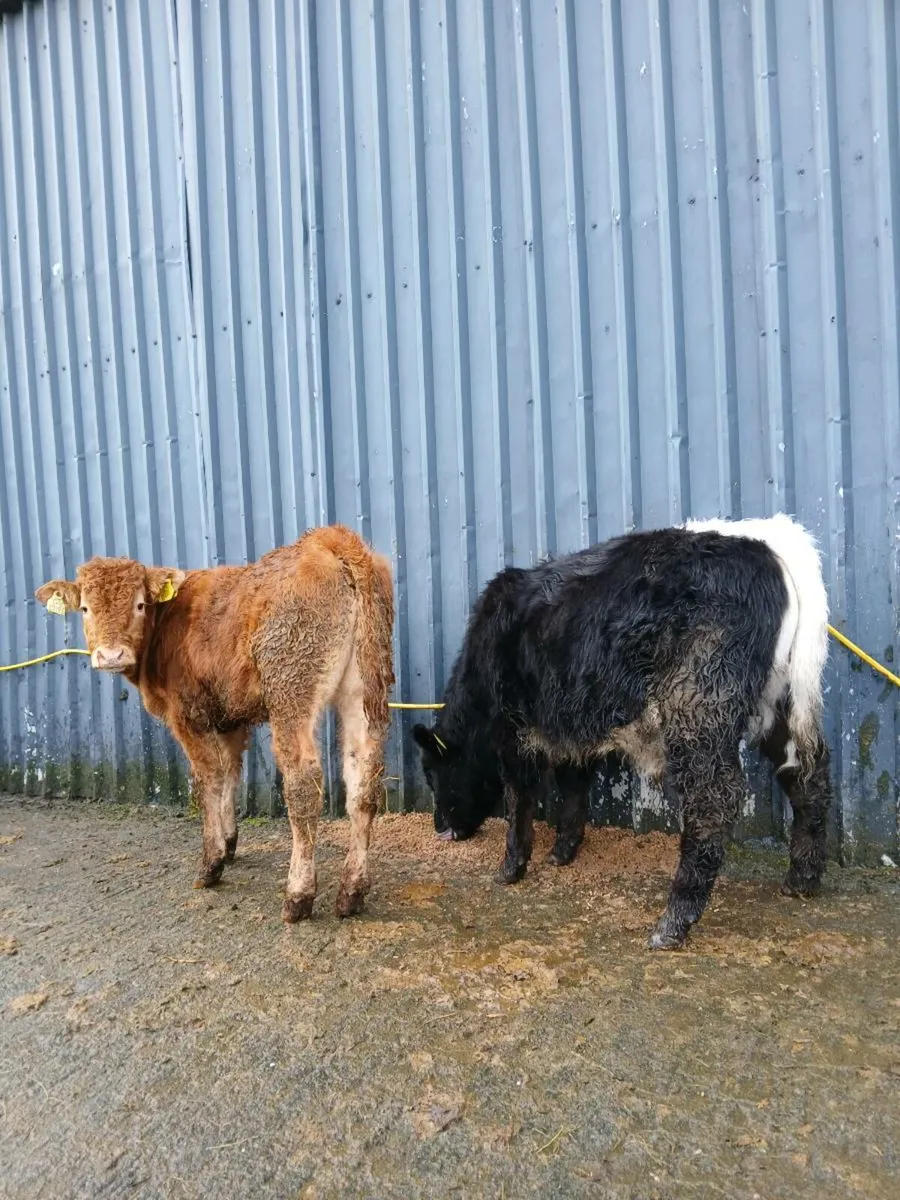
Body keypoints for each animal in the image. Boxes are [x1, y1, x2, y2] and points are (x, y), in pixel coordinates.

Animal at [37, 525, 394, 922]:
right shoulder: (229, 718)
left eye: (139, 604)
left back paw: (298, 895)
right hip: (363, 687)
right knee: (364, 780)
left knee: (303, 783)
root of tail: (329, 540)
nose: (111, 655)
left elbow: (207, 781)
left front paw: (211, 863)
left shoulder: (187, 714)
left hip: (290, 690)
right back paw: (351, 892)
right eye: (85, 608)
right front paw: (230, 842)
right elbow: (230, 775)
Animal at [413, 515, 834, 949]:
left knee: (714, 798)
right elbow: (574, 787)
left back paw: (672, 923)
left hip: (699, 706)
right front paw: (563, 852)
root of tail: (768, 540)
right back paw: (801, 879)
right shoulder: (570, 730)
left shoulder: (514, 732)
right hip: (781, 704)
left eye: (432, 773)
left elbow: (519, 799)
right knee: (807, 775)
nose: (440, 829)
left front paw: (511, 867)